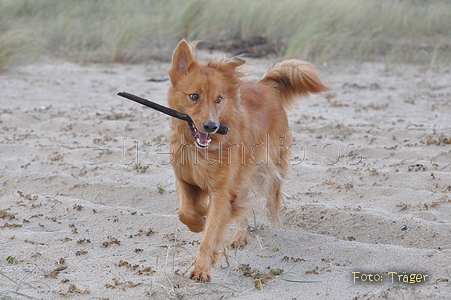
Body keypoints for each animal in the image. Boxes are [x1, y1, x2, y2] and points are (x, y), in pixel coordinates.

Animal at [166, 39, 328, 282]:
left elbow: (212, 230)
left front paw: (201, 267)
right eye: (194, 96)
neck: (201, 149)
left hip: (272, 168)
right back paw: (239, 236)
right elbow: (185, 211)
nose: (211, 126)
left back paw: (276, 228)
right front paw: (198, 220)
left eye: (219, 99)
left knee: (272, 203)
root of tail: (264, 86)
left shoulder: (222, 191)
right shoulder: (185, 179)